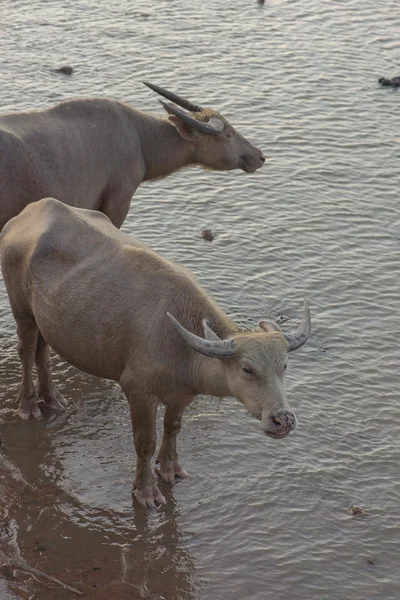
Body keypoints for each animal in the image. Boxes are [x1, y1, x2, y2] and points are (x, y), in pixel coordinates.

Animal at [0, 199, 310, 508]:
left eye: (284, 366)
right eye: (247, 368)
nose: (283, 419)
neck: (179, 344)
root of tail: (28, 213)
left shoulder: (181, 395)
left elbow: (173, 428)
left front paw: (171, 469)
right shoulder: (138, 392)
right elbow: (144, 444)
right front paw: (146, 491)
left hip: (46, 319)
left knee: (42, 351)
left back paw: (53, 399)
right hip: (22, 310)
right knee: (26, 350)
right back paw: (28, 404)